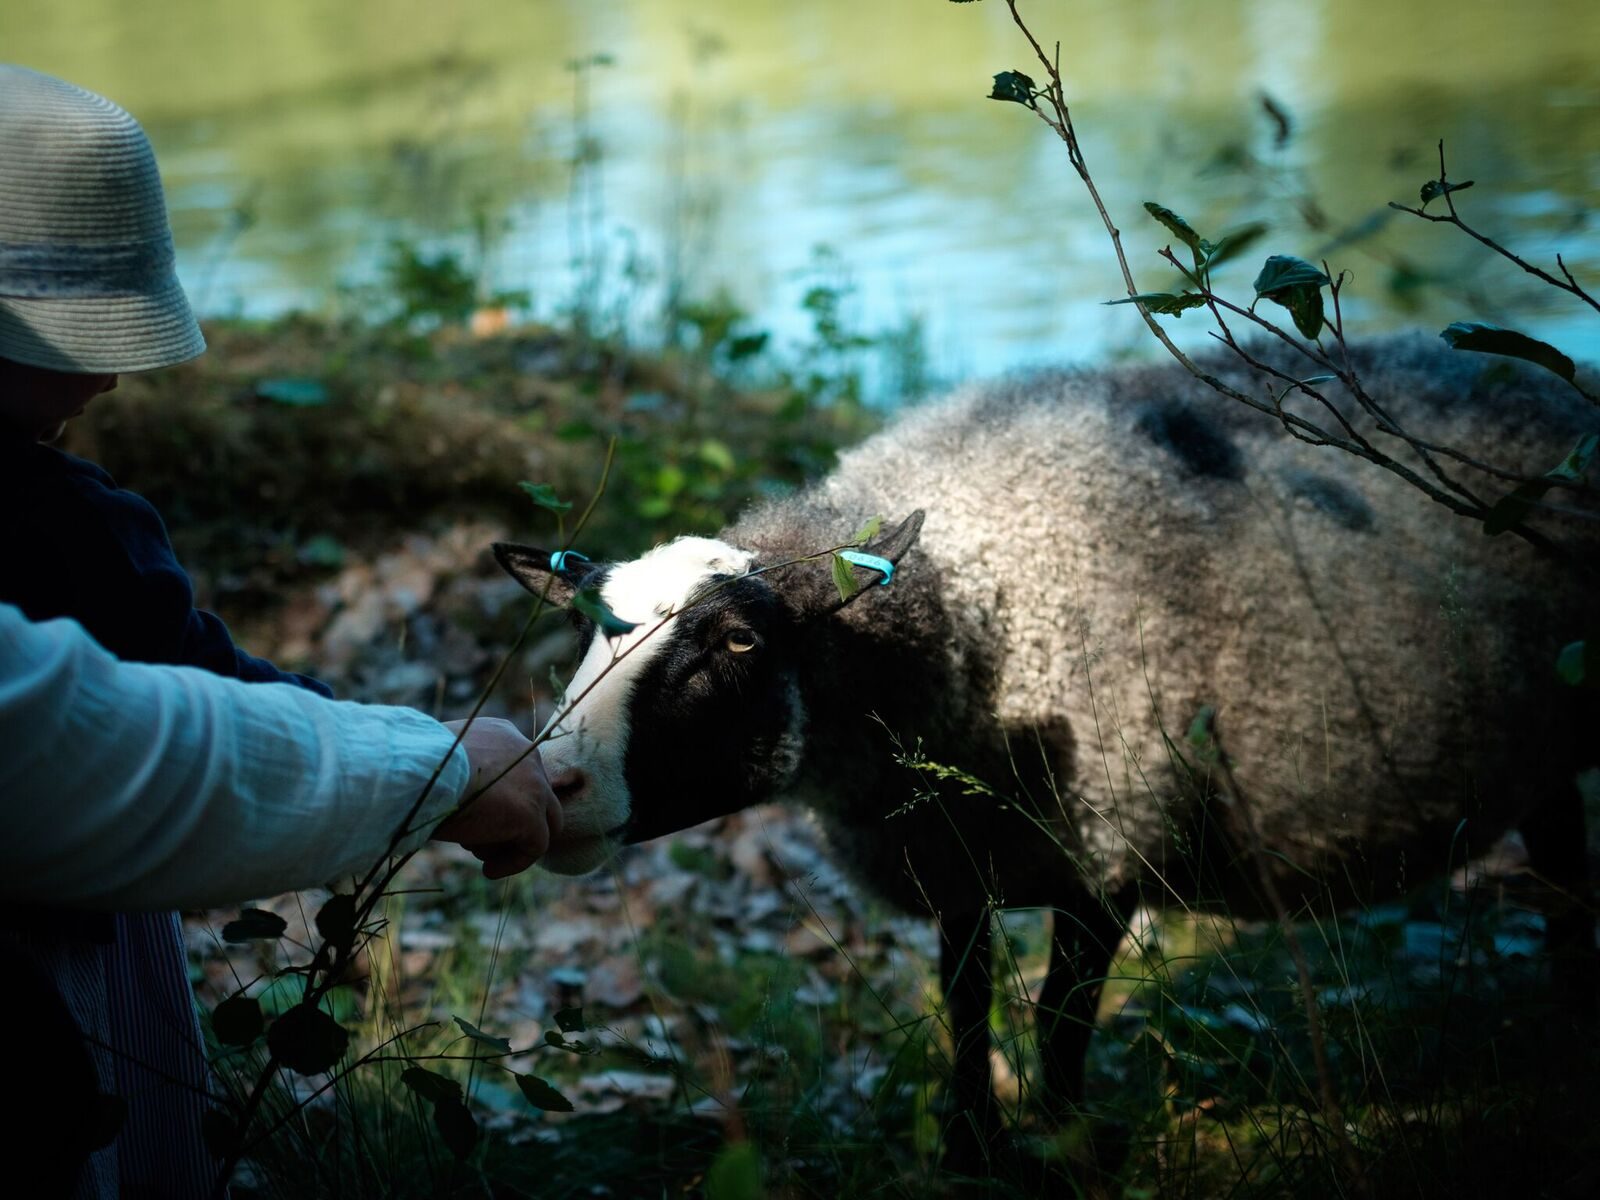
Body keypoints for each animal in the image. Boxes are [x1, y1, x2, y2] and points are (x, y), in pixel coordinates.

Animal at [492, 339, 1593, 1164]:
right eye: (586, 624)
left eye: (737, 643)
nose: (553, 782)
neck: (982, 603)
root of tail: (1558, 383)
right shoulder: (955, 856)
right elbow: (966, 999)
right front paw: (972, 1147)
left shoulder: (1107, 852)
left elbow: (1061, 1021)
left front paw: (1060, 1144)